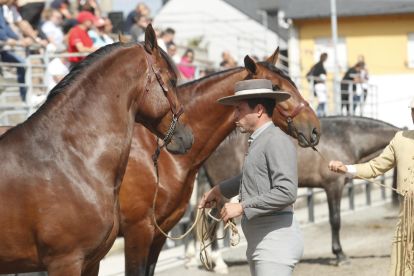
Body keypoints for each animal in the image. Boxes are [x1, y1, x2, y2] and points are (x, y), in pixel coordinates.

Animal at [202, 115, 400, 266]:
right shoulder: (333, 187)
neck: (346, 138)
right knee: (212, 220)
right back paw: (218, 262)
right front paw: (340, 255)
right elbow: (335, 220)